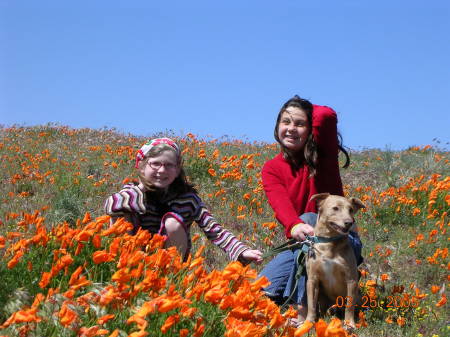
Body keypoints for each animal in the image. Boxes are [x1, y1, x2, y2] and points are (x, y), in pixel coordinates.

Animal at [304, 193, 364, 326]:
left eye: (351, 210)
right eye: (335, 208)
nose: (349, 222)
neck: (329, 243)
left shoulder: (351, 279)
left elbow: (349, 306)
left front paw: (349, 324)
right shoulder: (312, 279)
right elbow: (311, 304)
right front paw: (308, 322)